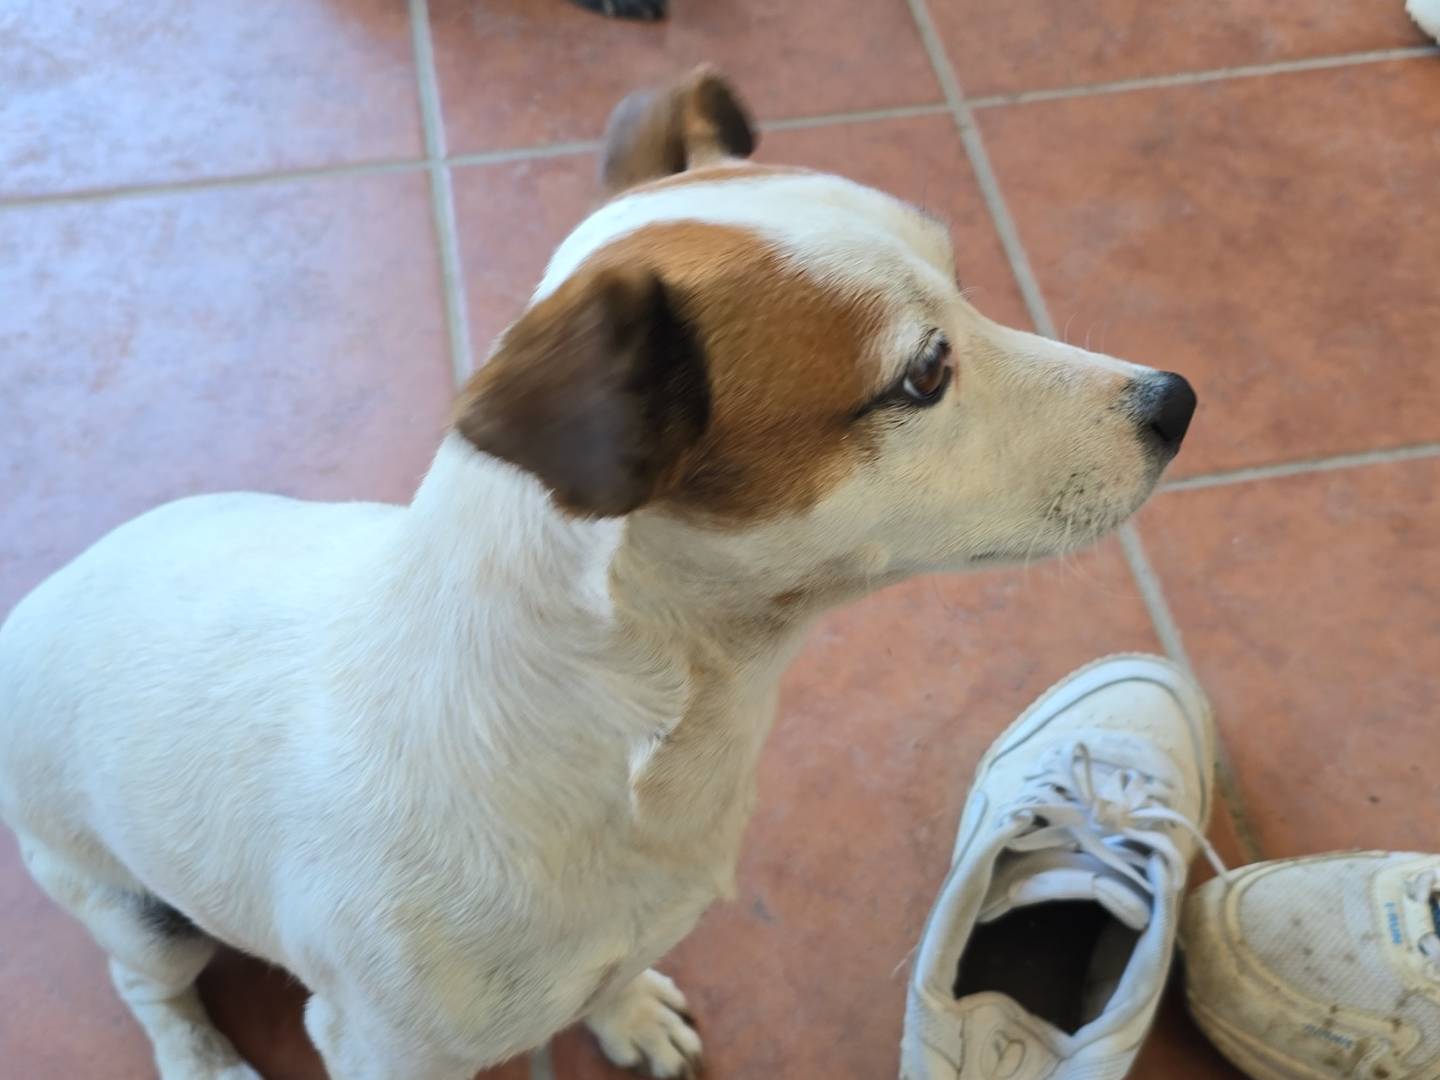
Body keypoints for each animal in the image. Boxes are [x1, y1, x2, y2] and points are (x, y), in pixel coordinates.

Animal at [0, 66, 1195, 1080]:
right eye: (925, 373)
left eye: (962, 286)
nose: (1178, 400)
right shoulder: (379, 1044)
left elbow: (613, 978)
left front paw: (625, 1015)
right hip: (138, 913)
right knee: (148, 988)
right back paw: (197, 1055)